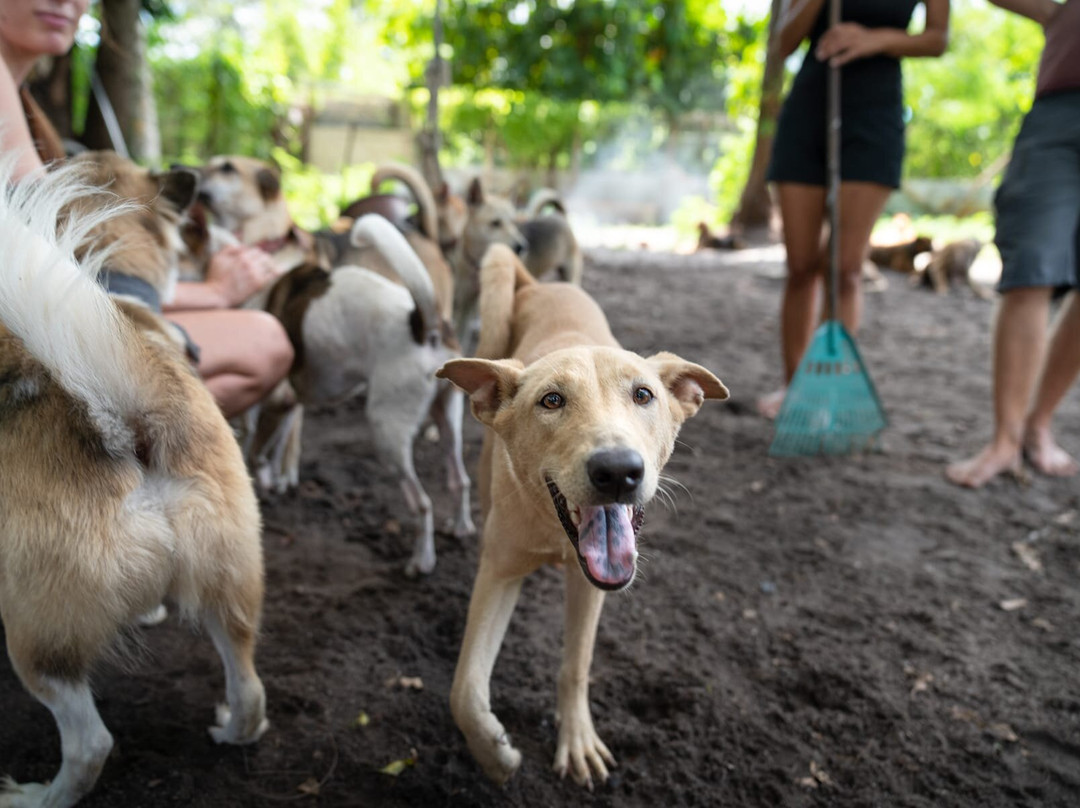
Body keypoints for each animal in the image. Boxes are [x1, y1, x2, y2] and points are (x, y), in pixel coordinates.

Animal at [0, 154, 267, 803]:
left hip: (36, 640)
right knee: (249, 686)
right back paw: (232, 731)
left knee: (89, 746)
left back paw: (35, 796)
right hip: (232, 580)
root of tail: (125, 424)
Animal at [434, 244, 730, 790]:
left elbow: (575, 666)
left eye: (643, 395)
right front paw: (495, 755)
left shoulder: (590, 585)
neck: (556, 534)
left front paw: (576, 741)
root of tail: (538, 283)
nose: (618, 471)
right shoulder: (499, 573)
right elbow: (464, 689)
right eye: (551, 401)